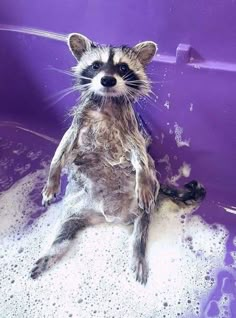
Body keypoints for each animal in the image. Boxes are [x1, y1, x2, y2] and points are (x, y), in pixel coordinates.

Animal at [30, 33, 206, 284]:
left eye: (123, 68)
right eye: (96, 66)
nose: (107, 80)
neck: (106, 104)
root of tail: (106, 218)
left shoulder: (131, 130)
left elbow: (141, 157)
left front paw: (142, 176)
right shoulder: (79, 125)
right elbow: (62, 148)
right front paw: (52, 177)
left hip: (141, 211)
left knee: (140, 231)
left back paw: (137, 251)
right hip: (76, 209)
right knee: (63, 233)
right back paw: (52, 252)